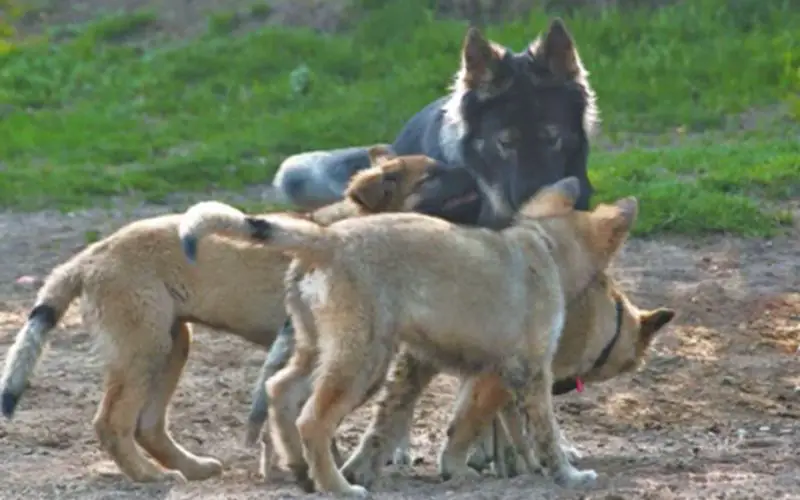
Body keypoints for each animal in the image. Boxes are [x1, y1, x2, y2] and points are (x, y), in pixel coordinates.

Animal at [0, 146, 438, 484]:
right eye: (432, 179)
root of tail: (90, 256)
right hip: (142, 349)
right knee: (111, 423)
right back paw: (151, 477)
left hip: (172, 344)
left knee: (147, 425)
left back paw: (191, 468)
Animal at [180, 177, 636, 496]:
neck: (546, 246)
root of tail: (329, 239)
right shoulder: (531, 370)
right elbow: (546, 433)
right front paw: (569, 476)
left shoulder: (470, 368)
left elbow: (462, 424)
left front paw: (455, 471)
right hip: (362, 360)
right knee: (312, 419)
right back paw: (339, 488)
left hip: (322, 350)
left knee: (280, 391)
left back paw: (302, 472)